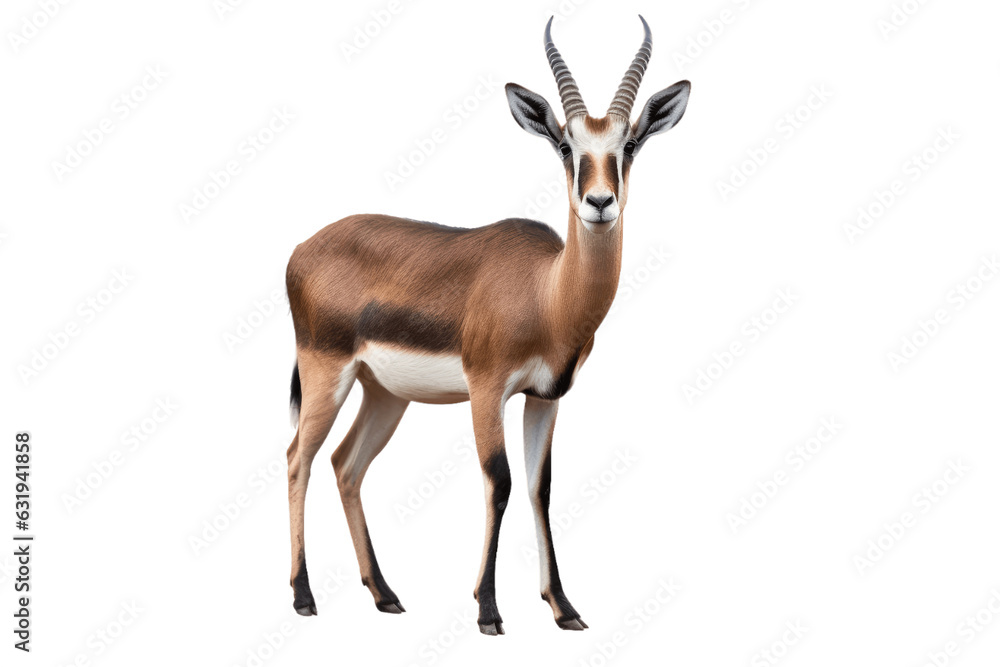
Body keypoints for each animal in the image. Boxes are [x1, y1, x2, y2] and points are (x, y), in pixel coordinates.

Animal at [284, 15, 689, 635]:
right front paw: (489, 611)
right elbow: (498, 481)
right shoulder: (486, 390)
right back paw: (304, 597)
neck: (546, 293)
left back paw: (385, 594)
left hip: (384, 394)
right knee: (297, 460)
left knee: (345, 465)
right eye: (566, 145)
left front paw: (564, 607)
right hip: (326, 375)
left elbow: (540, 487)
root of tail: (303, 248)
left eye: (629, 145)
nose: (599, 203)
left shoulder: (545, 397)